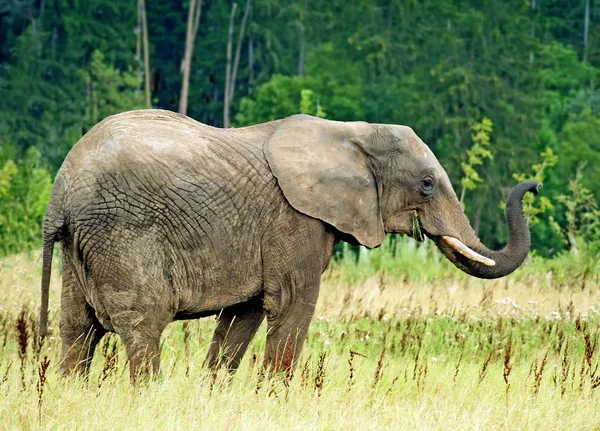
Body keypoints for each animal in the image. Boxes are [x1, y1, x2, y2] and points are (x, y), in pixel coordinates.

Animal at [39, 110, 540, 382]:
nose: (533, 185)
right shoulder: (295, 219)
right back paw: (151, 395)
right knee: (142, 325)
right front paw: (275, 396)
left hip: (81, 246)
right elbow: (294, 303)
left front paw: (215, 393)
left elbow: (244, 314)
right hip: (123, 232)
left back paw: (74, 393)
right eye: (427, 184)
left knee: (77, 328)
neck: (351, 132)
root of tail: (60, 191)